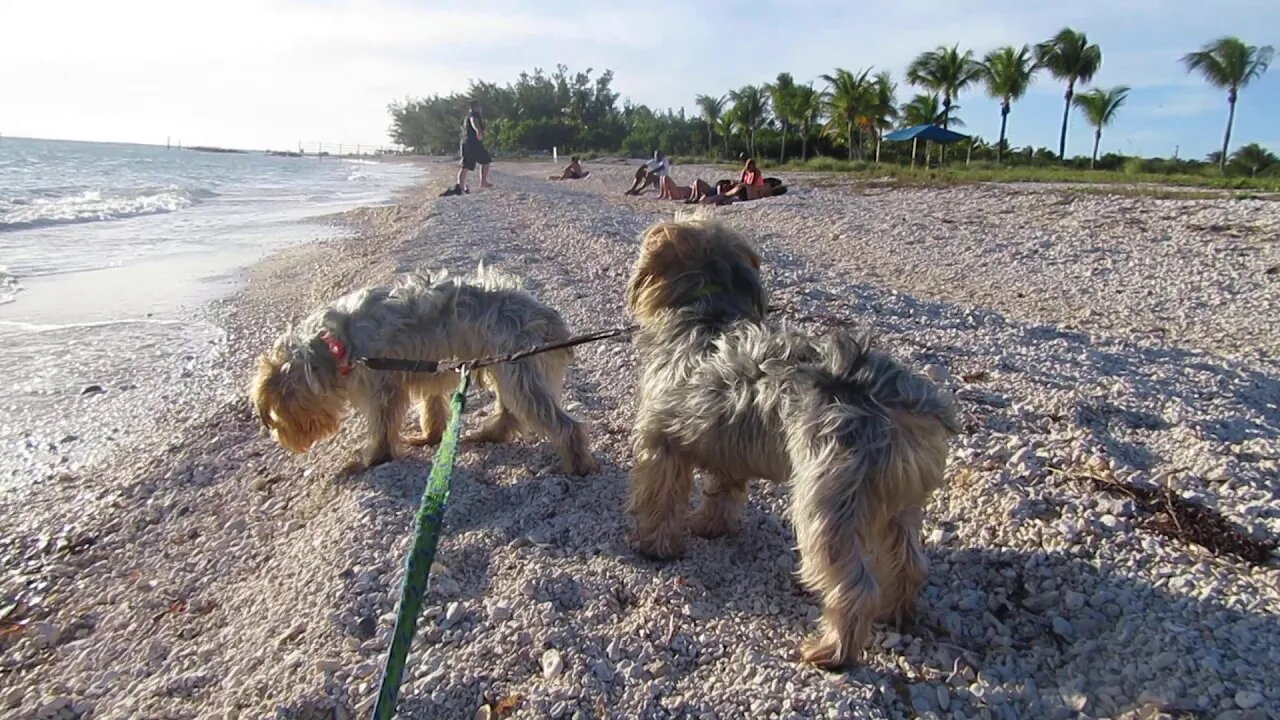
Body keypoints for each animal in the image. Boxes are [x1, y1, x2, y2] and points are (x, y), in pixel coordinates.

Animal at [249, 266, 599, 474]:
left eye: (278, 413)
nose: (285, 442)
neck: (337, 342)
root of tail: (546, 316)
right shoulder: (423, 370)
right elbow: (431, 408)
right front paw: (430, 437)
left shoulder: (383, 386)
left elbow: (382, 426)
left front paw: (371, 460)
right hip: (507, 367)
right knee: (510, 413)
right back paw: (487, 434)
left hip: (519, 370)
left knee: (562, 424)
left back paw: (577, 465)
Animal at [622, 215, 962, 666]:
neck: (705, 310)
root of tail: (898, 399)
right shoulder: (728, 442)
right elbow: (723, 492)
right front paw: (711, 526)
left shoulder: (661, 442)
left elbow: (659, 498)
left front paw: (655, 546)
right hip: (898, 502)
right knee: (908, 560)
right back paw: (896, 610)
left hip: (827, 501)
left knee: (854, 584)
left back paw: (833, 651)